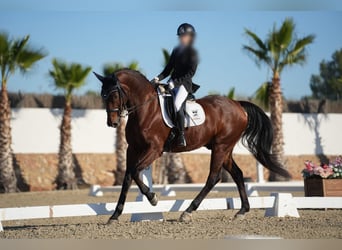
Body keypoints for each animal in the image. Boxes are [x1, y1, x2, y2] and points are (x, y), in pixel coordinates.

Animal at [93, 69, 292, 224]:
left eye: (114, 94)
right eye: (103, 95)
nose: (112, 123)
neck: (145, 109)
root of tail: (238, 105)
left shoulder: (154, 150)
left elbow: (135, 171)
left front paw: (153, 198)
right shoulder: (132, 149)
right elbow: (128, 177)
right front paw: (115, 215)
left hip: (221, 147)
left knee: (213, 177)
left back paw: (187, 212)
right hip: (224, 148)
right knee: (237, 174)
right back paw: (242, 211)